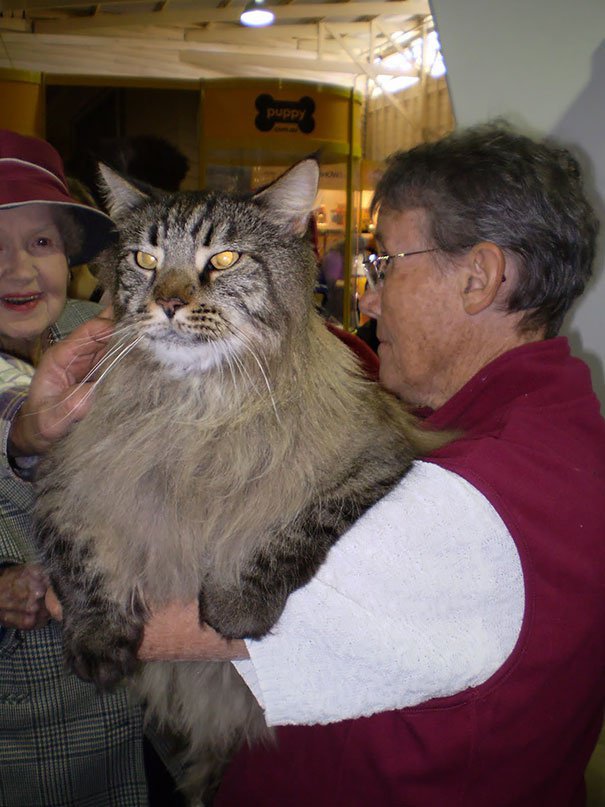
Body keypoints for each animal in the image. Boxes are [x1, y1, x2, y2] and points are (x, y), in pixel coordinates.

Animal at [35, 161, 446, 804]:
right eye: (145, 260)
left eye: (224, 259)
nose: (169, 302)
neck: (199, 409)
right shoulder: (64, 473)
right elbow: (81, 557)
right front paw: (99, 638)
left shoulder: (379, 455)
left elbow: (293, 529)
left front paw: (236, 606)